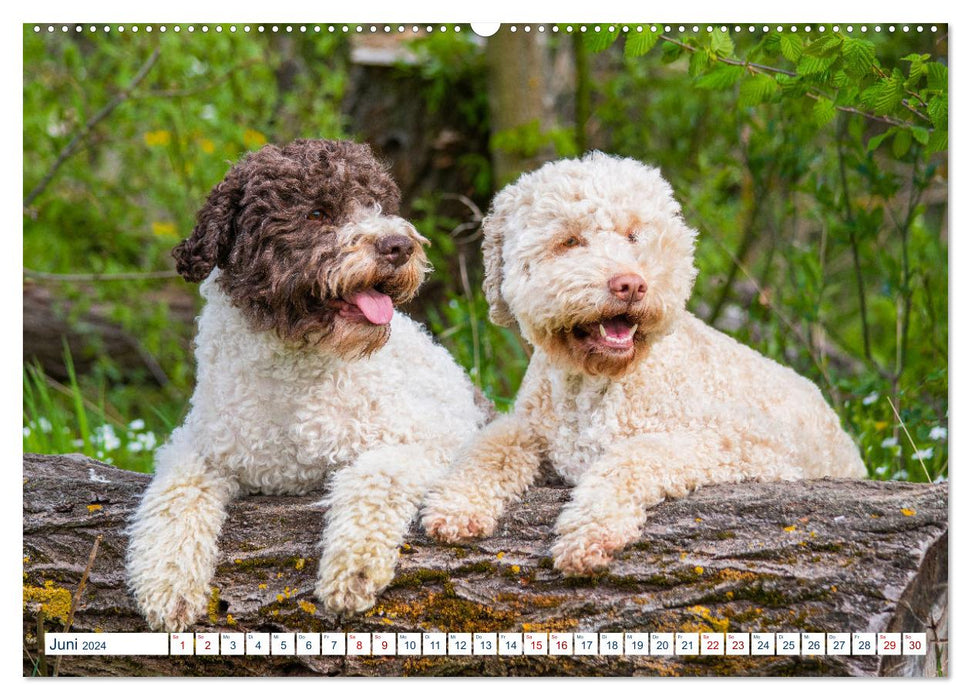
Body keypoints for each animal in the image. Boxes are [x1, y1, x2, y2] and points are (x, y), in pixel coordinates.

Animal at [127, 139, 486, 632]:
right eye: (317, 213)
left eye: (378, 204)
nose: (399, 246)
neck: (296, 375)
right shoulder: (199, 446)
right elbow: (175, 496)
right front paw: (167, 584)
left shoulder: (433, 438)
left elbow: (375, 475)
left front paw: (352, 570)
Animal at [424, 152, 864, 576]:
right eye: (570, 241)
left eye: (635, 235)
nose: (631, 284)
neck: (596, 385)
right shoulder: (530, 427)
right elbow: (491, 446)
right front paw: (456, 504)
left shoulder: (742, 444)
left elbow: (634, 455)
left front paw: (590, 531)